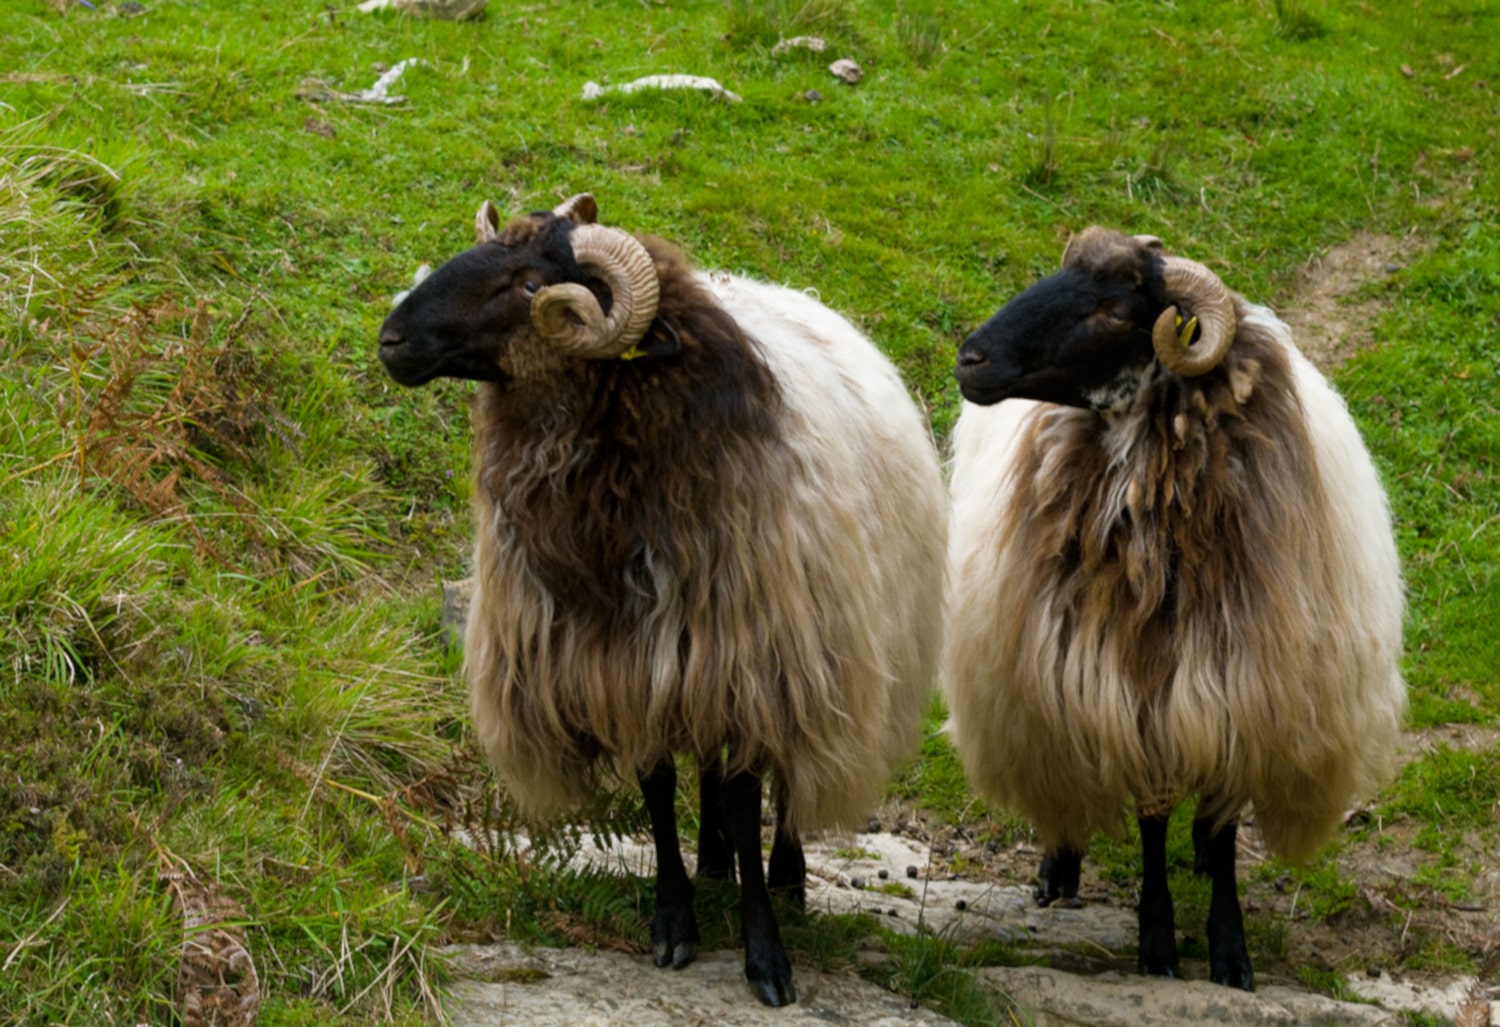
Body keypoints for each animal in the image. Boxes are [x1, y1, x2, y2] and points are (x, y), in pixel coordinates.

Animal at [376, 193, 946, 1006]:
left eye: (529, 285)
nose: (391, 339)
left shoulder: (753, 653)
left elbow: (744, 796)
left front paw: (766, 954)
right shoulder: (625, 659)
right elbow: (658, 785)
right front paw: (674, 918)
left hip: (815, 644)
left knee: (790, 776)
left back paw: (787, 875)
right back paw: (713, 863)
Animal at [944, 227, 1405, 991]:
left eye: (1111, 308)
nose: (971, 358)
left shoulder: (1239, 690)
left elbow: (1220, 827)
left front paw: (1230, 949)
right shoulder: (1126, 691)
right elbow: (1153, 819)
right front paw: (1157, 941)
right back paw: (1059, 866)